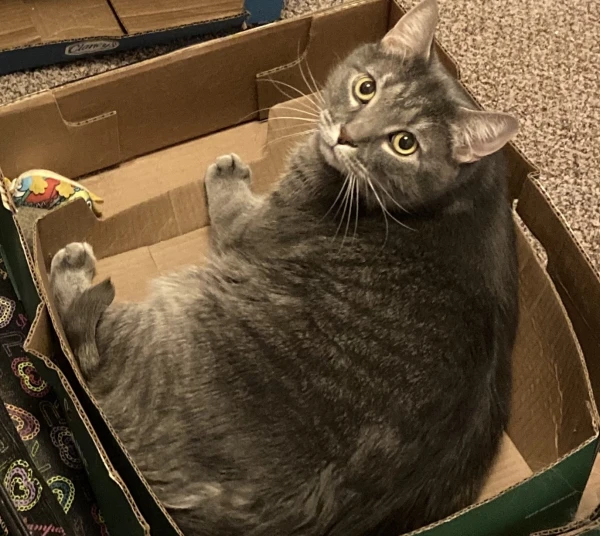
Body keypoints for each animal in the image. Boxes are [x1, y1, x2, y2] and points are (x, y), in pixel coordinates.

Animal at [50, 2, 520, 532]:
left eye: (405, 143)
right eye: (366, 88)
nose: (346, 135)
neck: (454, 198)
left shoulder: (250, 228)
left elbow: (230, 208)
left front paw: (228, 174)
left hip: (173, 326)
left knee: (87, 337)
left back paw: (71, 266)